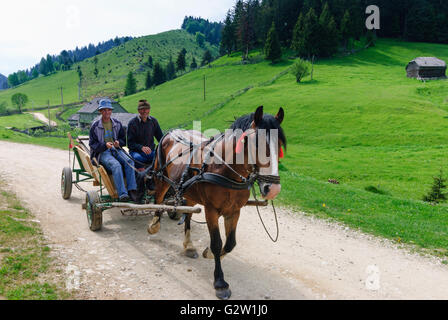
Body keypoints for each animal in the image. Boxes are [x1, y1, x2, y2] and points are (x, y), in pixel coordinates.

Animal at [147, 106, 288, 298]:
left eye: (279, 145)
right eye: (256, 144)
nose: (273, 189)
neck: (225, 169)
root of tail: (172, 132)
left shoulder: (234, 210)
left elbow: (230, 244)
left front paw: (208, 253)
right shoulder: (211, 210)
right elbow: (217, 243)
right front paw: (220, 282)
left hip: (189, 193)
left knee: (188, 215)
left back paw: (189, 245)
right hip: (161, 178)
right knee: (158, 200)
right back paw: (154, 225)